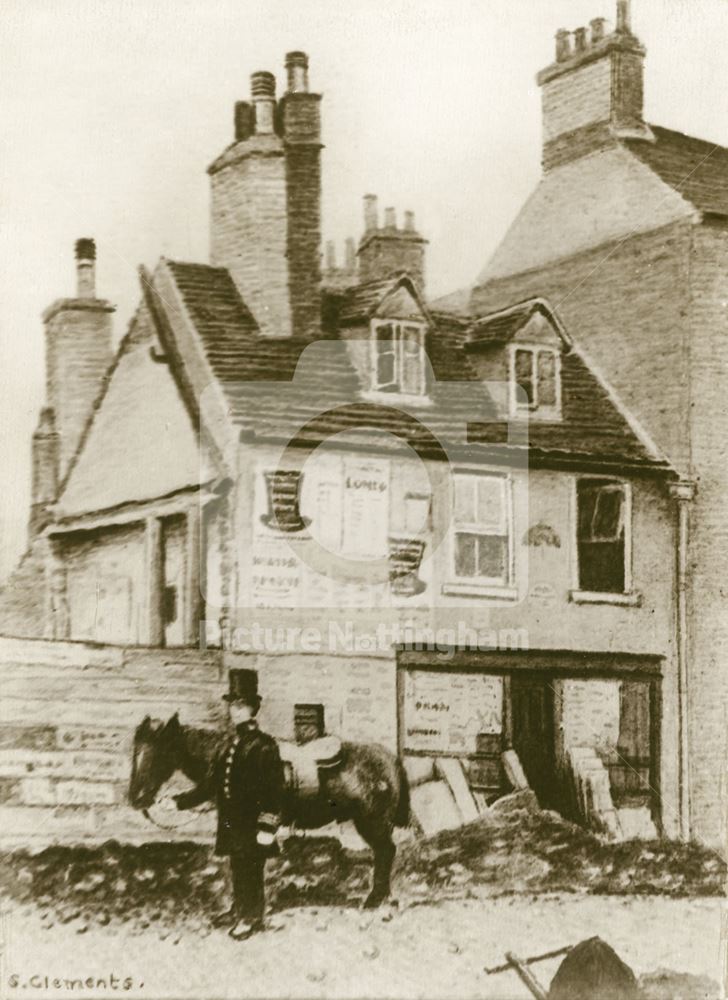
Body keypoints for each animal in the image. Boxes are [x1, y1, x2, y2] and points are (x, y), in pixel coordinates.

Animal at [125, 712, 410, 908]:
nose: (136, 798)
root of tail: (391, 759)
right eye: (135, 751)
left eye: (159, 753)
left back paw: (375, 899)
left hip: (373, 822)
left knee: (386, 852)